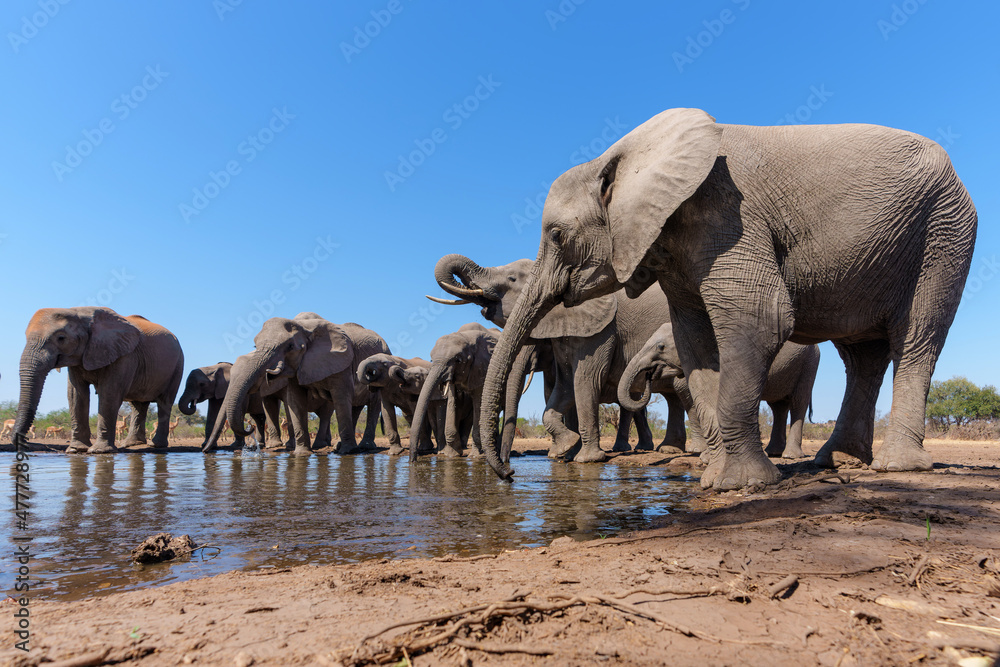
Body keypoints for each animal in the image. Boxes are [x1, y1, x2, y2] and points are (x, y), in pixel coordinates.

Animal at [13, 307, 184, 453]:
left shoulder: (124, 355)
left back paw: (156, 445)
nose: (23, 442)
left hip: (177, 365)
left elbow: (109, 393)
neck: (78, 312)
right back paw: (131, 444)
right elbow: (76, 395)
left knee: (164, 402)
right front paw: (76, 450)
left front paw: (99, 451)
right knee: (138, 405)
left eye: (61, 338)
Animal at [220, 313, 393, 455]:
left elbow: (341, 397)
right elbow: (295, 401)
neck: (304, 327)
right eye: (255, 346)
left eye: (290, 346)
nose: (248, 428)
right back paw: (336, 445)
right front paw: (301, 454)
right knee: (355, 407)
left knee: (371, 404)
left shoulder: (341, 362)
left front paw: (347, 452)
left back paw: (362, 447)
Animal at [409, 323, 498, 460]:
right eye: (431, 360)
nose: (413, 460)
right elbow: (452, 401)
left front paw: (476, 456)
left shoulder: (482, 368)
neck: (467, 337)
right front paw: (451, 455)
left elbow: (479, 402)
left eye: (458, 360)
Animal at [431, 254, 688, 463]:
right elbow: (565, 386)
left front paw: (586, 459)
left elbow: (586, 380)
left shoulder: (603, 330)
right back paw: (669, 450)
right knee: (672, 396)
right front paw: (567, 449)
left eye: (512, 279)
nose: (508, 468)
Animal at [619, 322, 820, 458]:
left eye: (661, 347)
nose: (648, 375)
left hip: (809, 364)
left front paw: (709, 458)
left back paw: (790, 456)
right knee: (778, 406)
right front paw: (708, 457)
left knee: (798, 402)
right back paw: (773, 453)